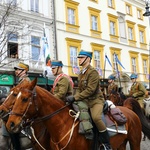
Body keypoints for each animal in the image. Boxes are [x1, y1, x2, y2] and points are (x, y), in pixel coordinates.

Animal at [4, 78, 143, 150]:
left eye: (24, 98)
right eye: (15, 95)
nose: (10, 124)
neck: (62, 125)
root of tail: (128, 110)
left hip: (135, 142)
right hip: (121, 144)